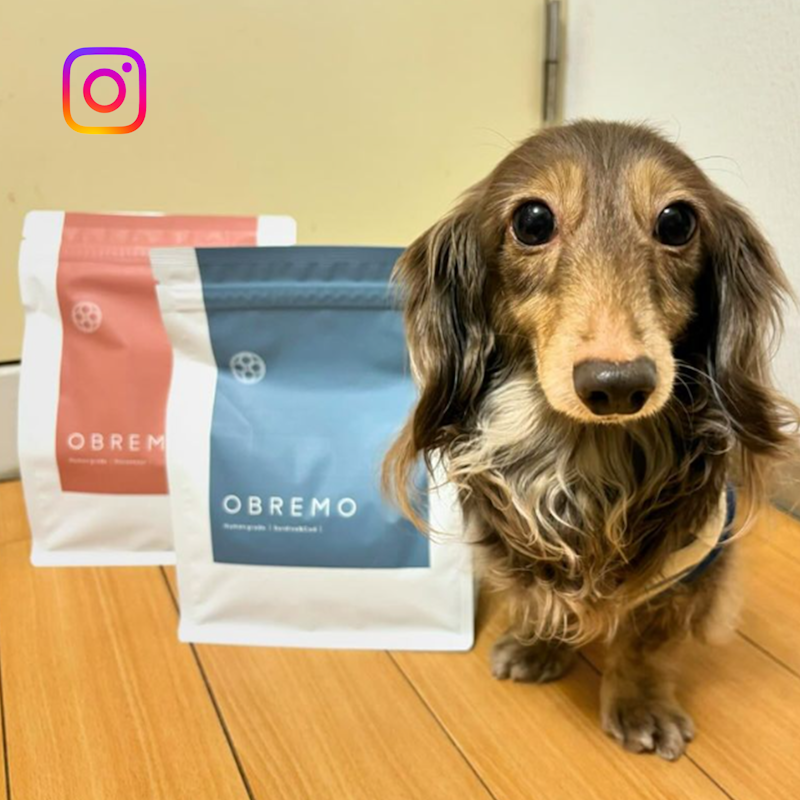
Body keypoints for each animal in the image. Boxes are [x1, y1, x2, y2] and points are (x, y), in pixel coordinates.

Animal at [383, 121, 799, 760]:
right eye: (532, 220)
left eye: (677, 222)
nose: (618, 384)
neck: (584, 454)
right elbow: (539, 595)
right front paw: (538, 646)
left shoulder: (691, 563)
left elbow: (648, 641)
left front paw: (641, 705)